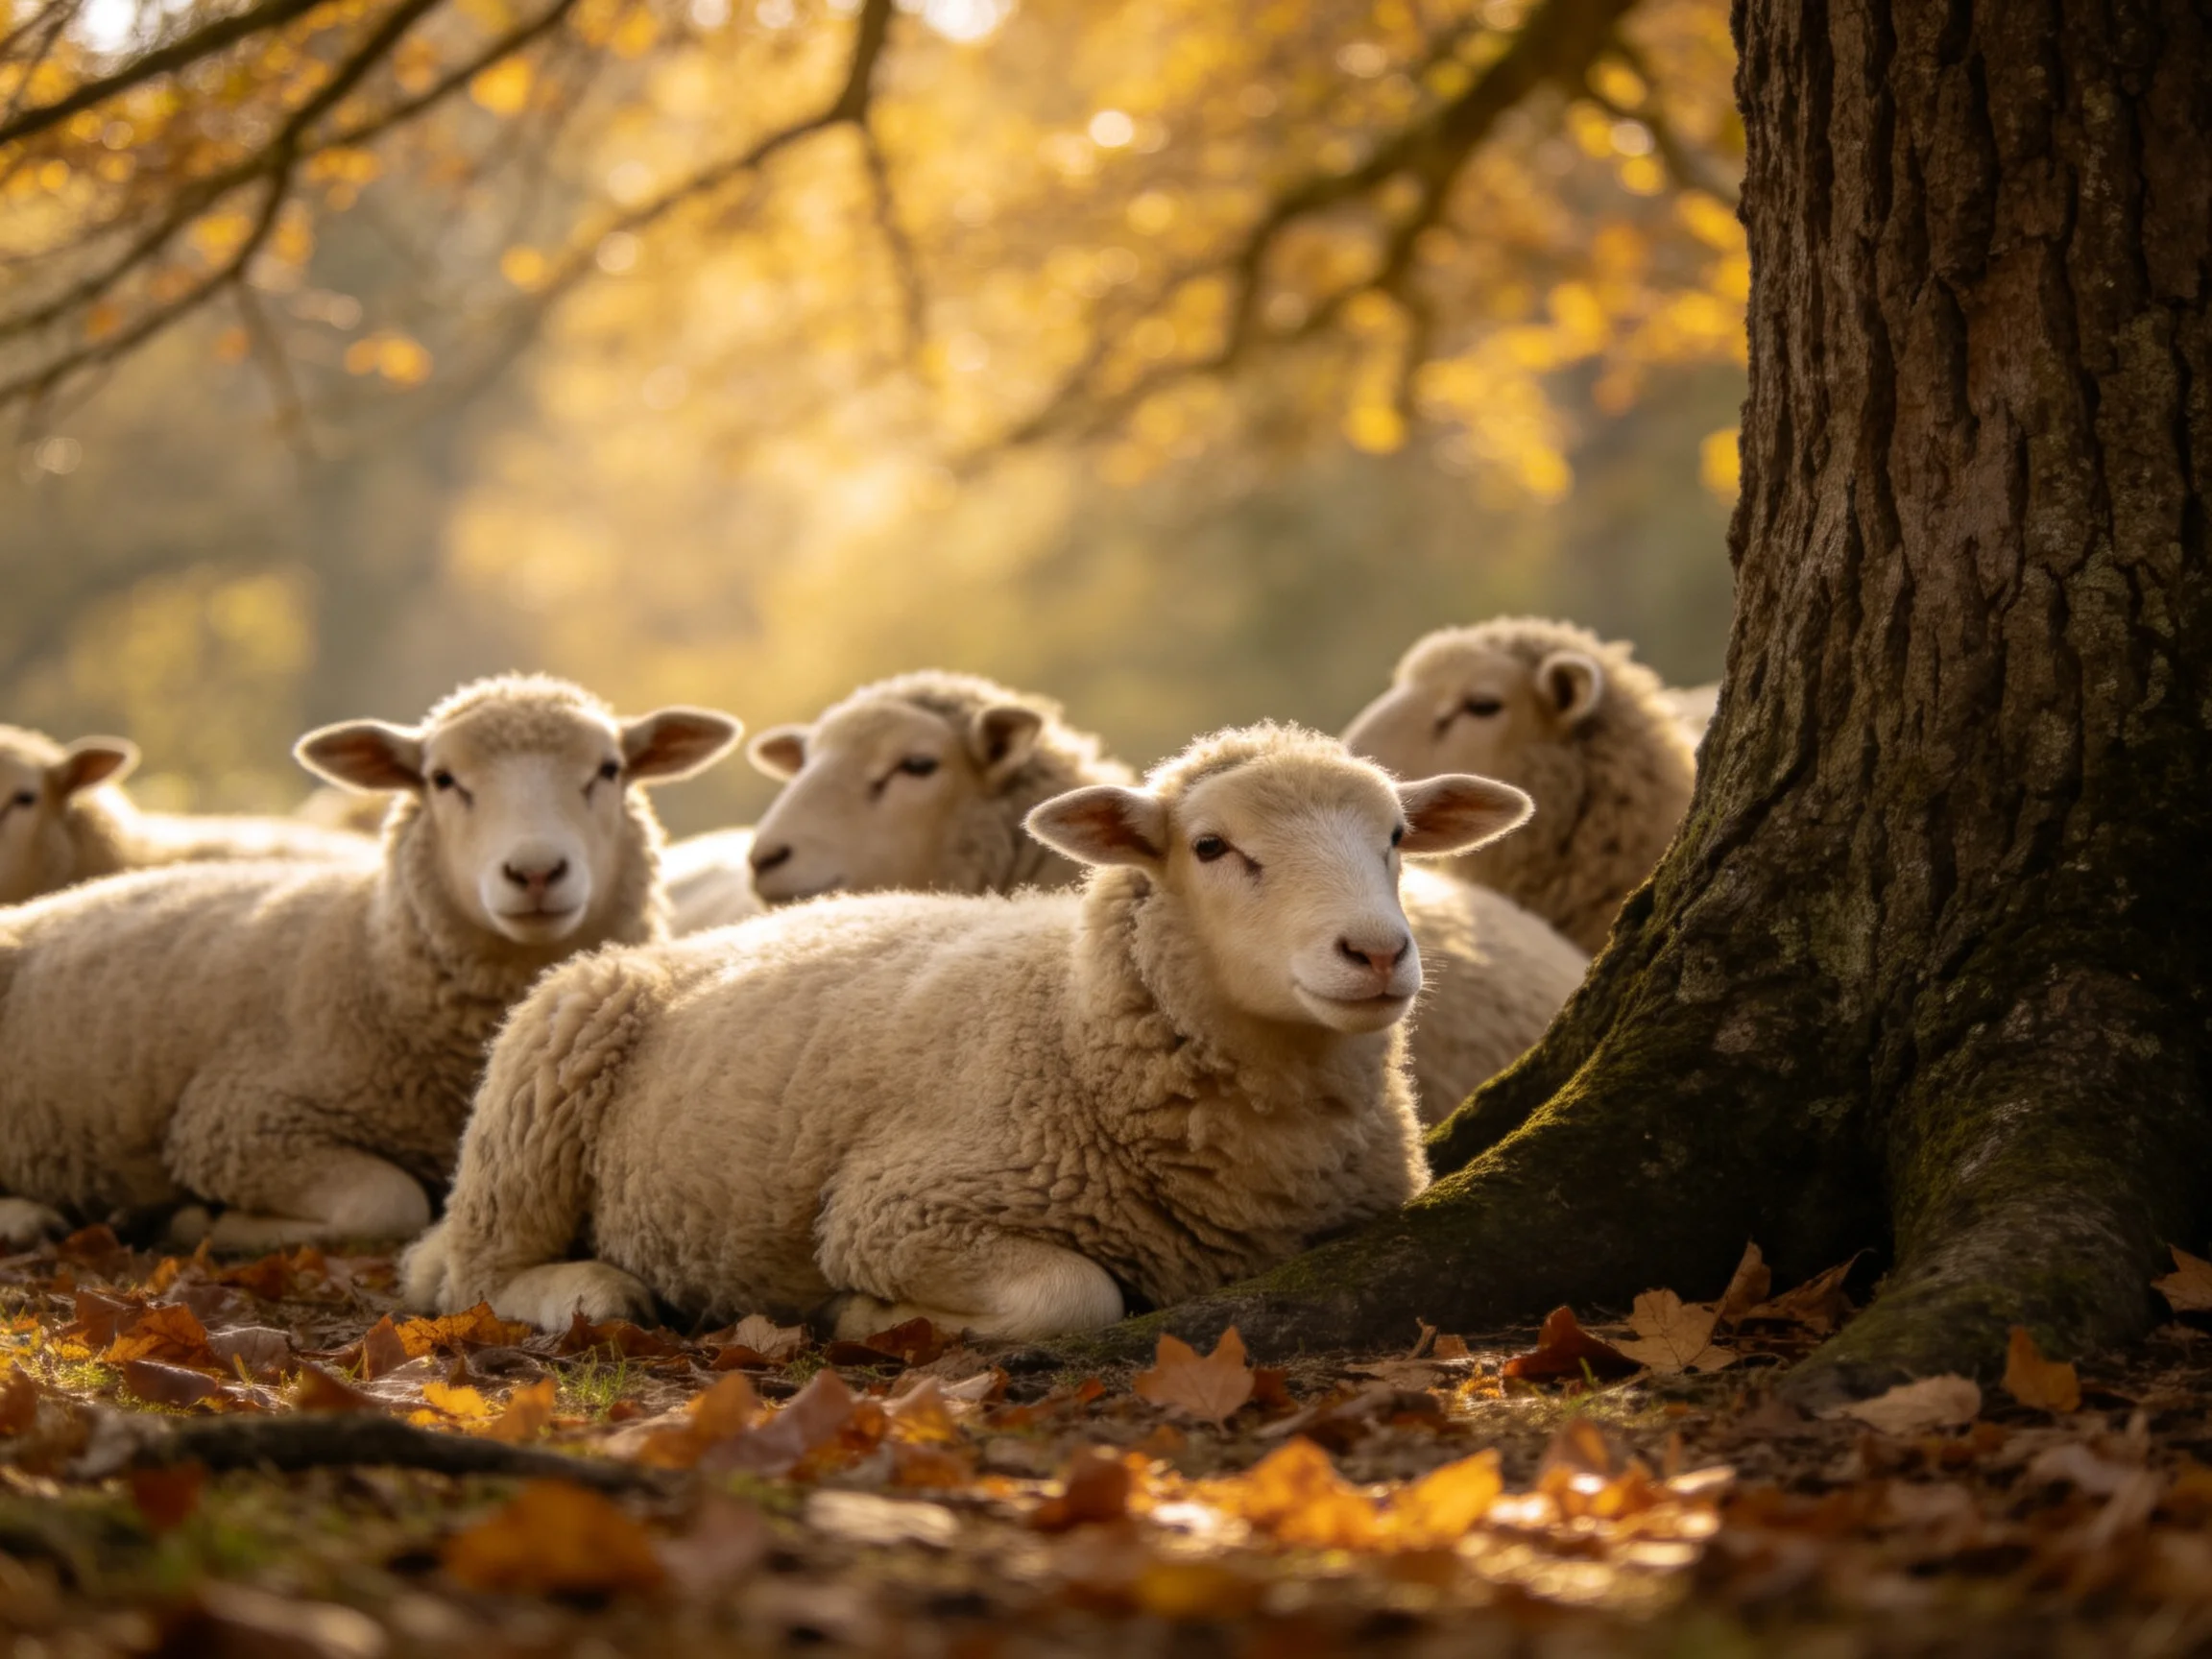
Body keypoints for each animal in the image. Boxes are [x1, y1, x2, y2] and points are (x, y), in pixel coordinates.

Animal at [400, 725, 1533, 1337]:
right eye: (1212, 846)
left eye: (1398, 836)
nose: (1377, 953)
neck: (1069, 1023)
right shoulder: (897, 1208)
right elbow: (1073, 1296)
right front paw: (863, 1318)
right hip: (537, 1093)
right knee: (468, 1272)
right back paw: (591, 1291)